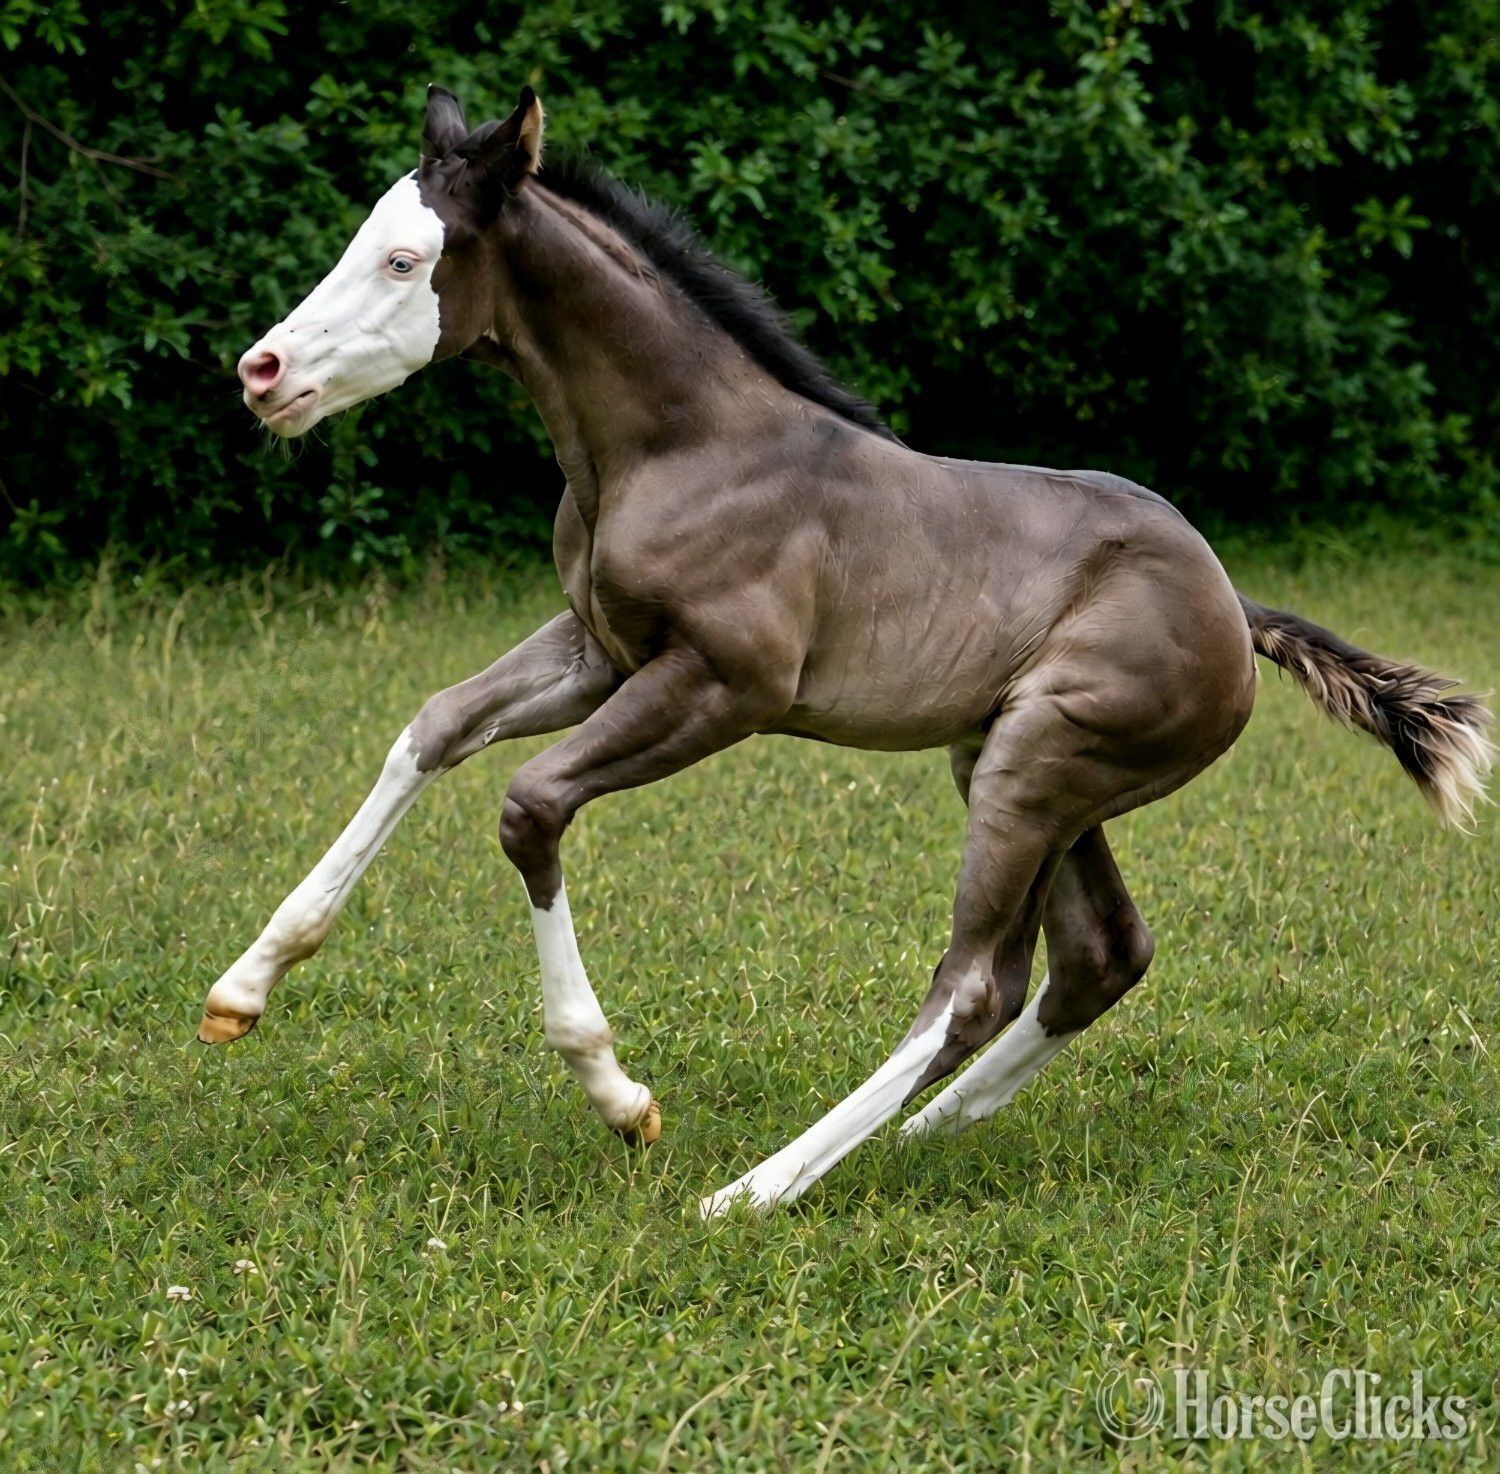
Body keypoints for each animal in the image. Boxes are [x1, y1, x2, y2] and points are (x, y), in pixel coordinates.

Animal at [202, 85, 1493, 1215]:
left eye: (405, 261)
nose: (262, 372)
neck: (681, 446)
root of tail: (1234, 607)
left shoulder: (722, 685)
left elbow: (530, 806)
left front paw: (619, 1094)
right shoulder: (599, 648)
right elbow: (432, 727)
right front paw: (243, 986)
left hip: (1037, 766)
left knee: (973, 983)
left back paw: (757, 1189)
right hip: (1030, 768)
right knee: (1099, 956)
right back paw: (922, 1132)